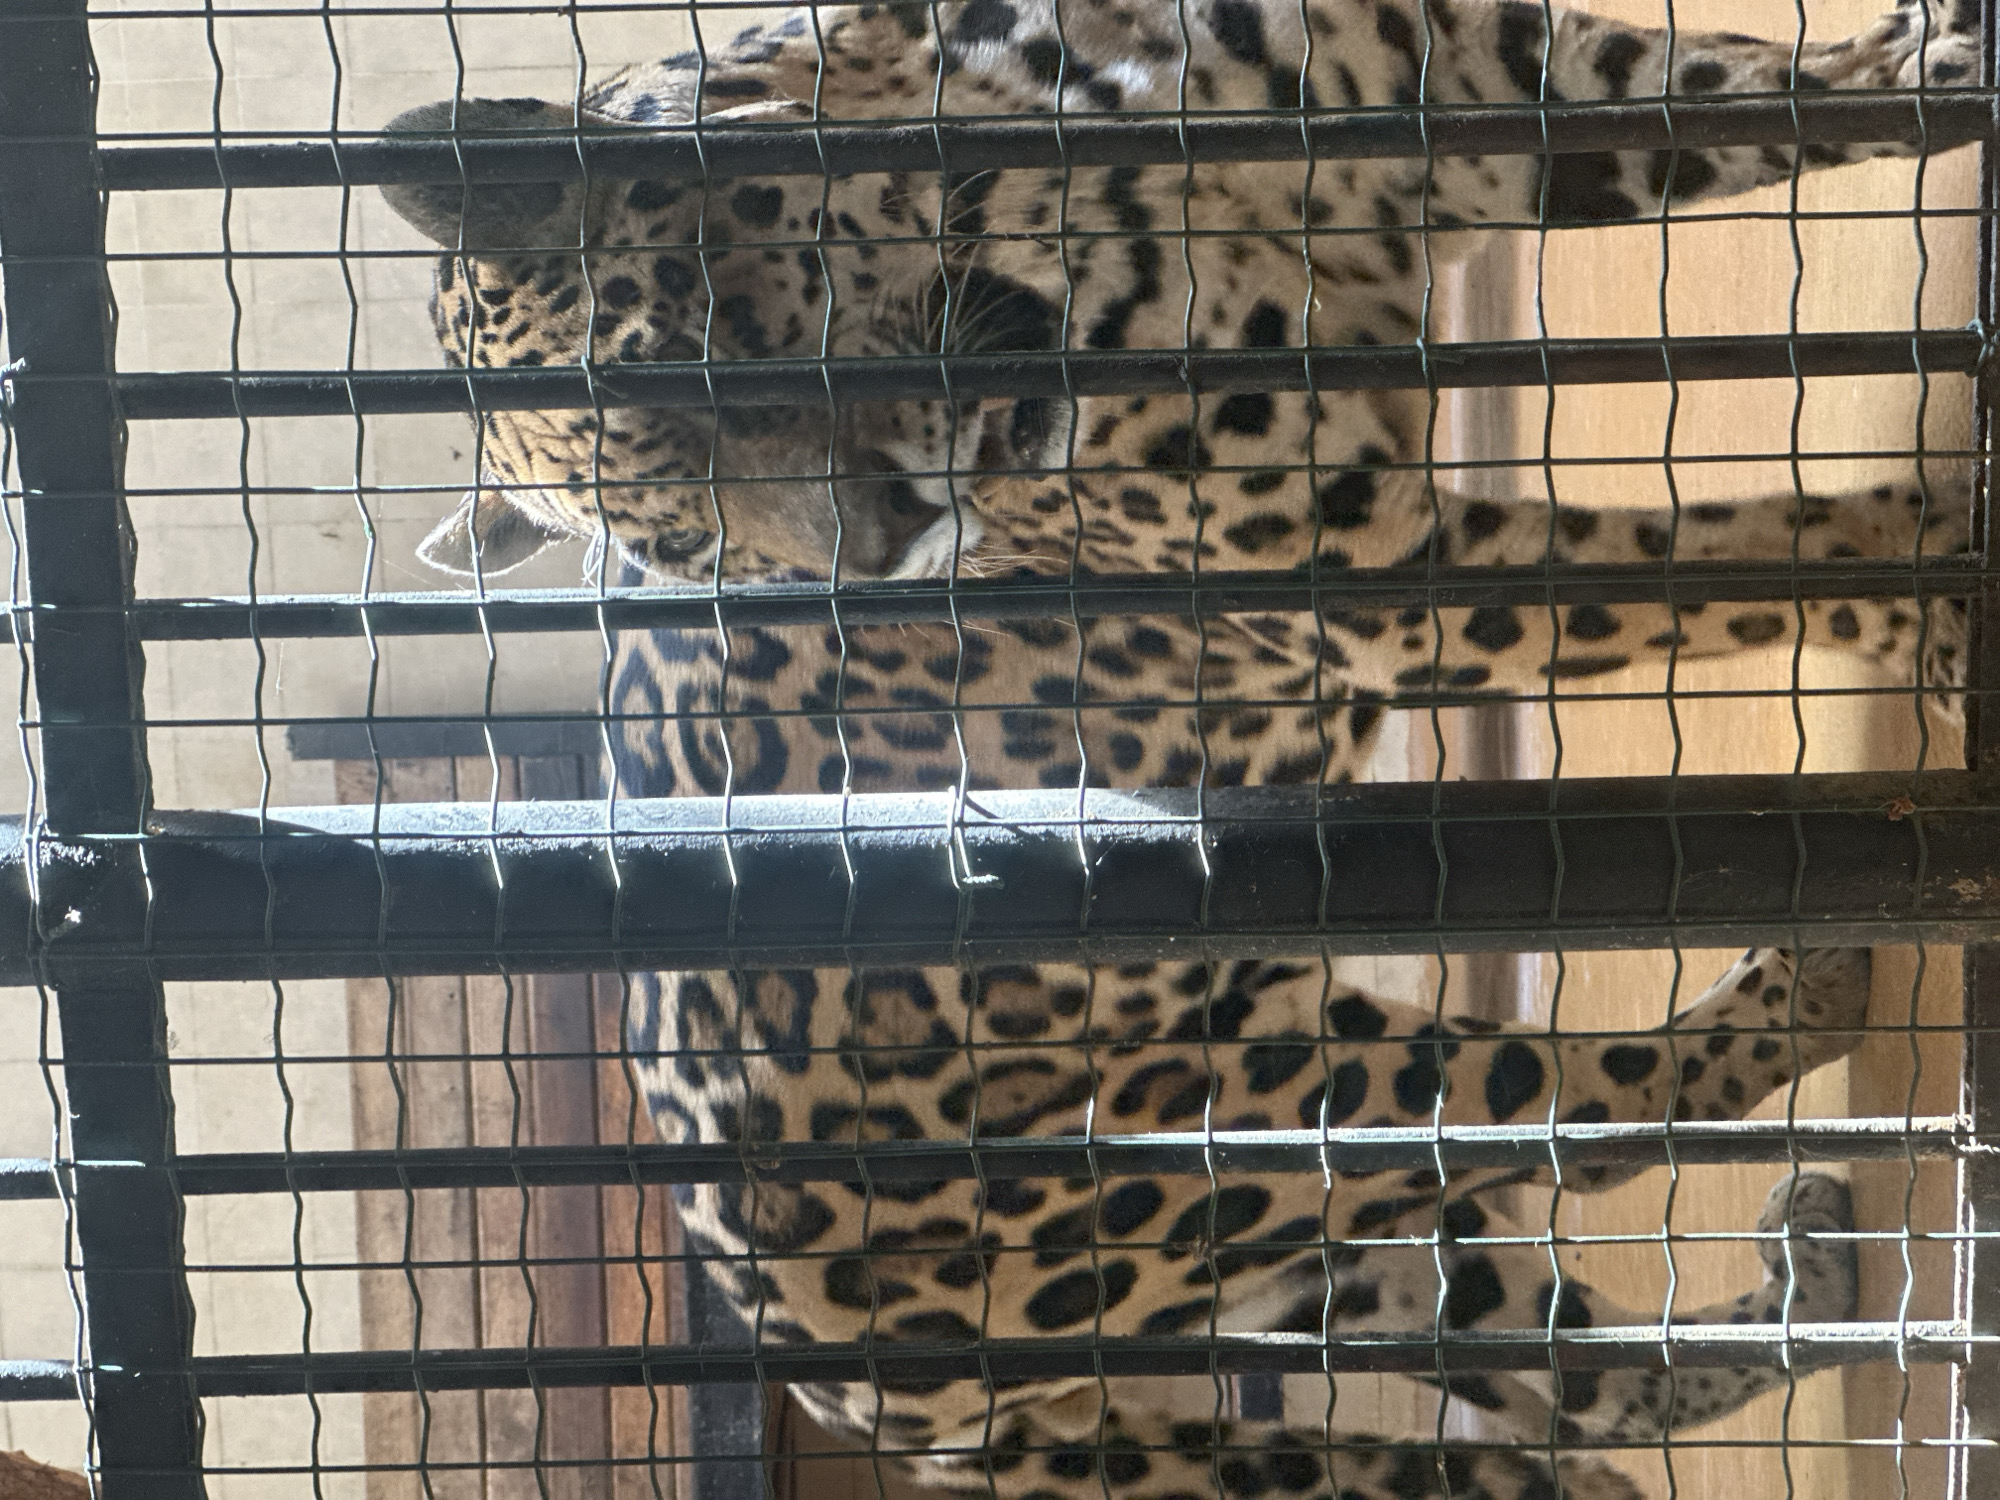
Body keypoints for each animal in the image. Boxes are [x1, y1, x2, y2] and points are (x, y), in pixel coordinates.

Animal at [378, 0, 1984, 1494]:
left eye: (705, 371)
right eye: (686, 550)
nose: (894, 546)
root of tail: (860, 1393)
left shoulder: (1466, 76)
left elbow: (1743, 90)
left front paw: (1936, 59)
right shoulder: (1378, 576)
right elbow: (1726, 564)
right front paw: (1938, 589)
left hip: (1294, 1244)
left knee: (1556, 1373)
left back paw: (1796, 1298)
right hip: (1248, 1106)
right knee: (1573, 1124)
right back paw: (1796, 1002)